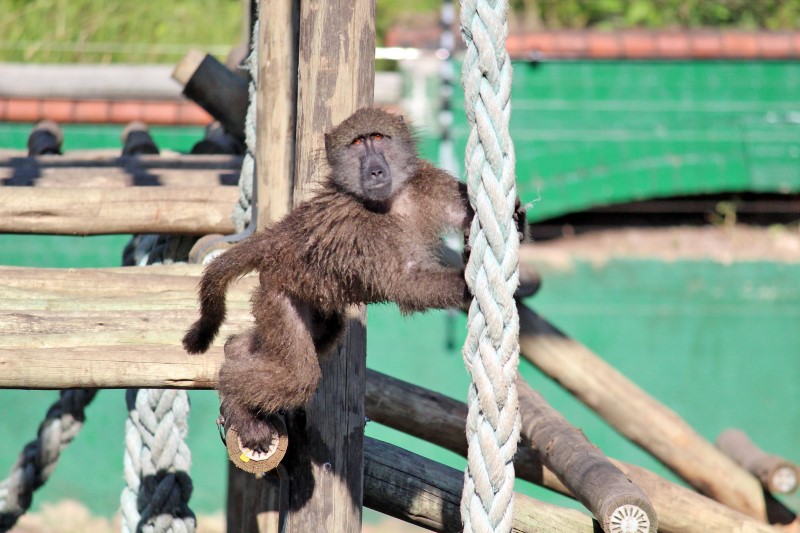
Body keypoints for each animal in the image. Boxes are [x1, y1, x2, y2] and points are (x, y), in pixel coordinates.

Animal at [183, 107, 525, 460]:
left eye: (377, 138)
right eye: (357, 144)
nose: (375, 171)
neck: (393, 201)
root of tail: (279, 237)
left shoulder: (428, 182)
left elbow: (470, 215)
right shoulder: (366, 231)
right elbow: (406, 284)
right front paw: (466, 285)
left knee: (320, 334)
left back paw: (235, 350)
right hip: (277, 294)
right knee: (297, 376)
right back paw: (235, 399)